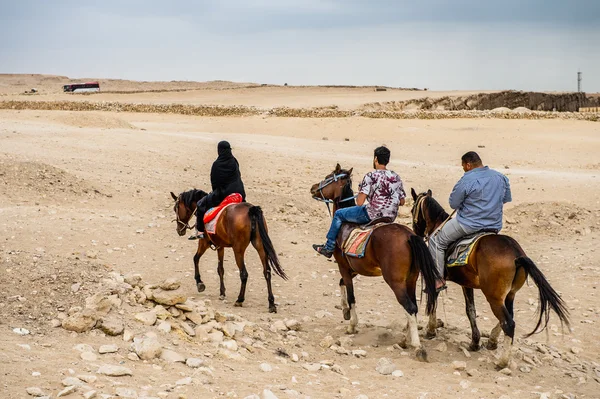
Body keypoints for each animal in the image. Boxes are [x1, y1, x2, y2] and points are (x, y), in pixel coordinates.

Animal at [312, 164, 438, 360]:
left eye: (328, 178)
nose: (313, 188)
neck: (344, 226)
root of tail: (409, 236)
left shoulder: (343, 266)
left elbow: (350, 295)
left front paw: (352, 324)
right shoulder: (354, 268)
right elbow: (341, 284)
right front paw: (345, 311)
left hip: (395, 281)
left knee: (409, 307)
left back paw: (417, 346)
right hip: (411, 279)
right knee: (414, 307)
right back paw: (405, 340)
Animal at [410, 188, 568, 368]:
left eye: (412, 209)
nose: (416, 231)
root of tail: (517, 255)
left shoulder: (436, 278)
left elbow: (434, 301)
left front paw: (431, 330)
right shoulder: (467, 284)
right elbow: (471, 311)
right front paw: (475, 342)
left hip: (493, 297)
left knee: (509, 323)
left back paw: (502, 361)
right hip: (509, 294)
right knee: (509, 317)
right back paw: (492, 340)